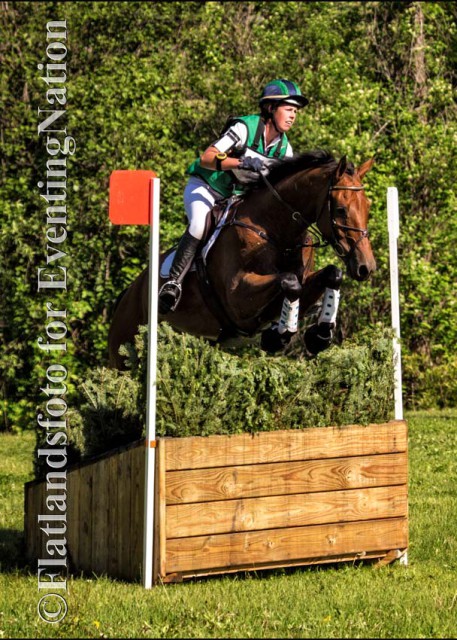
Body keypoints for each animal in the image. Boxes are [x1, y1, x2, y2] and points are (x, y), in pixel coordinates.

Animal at [108, 151, 376, 370]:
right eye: (341, 209)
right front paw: (280, 335)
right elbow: (289, 282)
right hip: (125, 351)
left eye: (368, 206)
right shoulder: (238, 298)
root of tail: (128, 293)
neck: (275, 229)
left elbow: (331, 274)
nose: (366, 267)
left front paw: (319, 336)